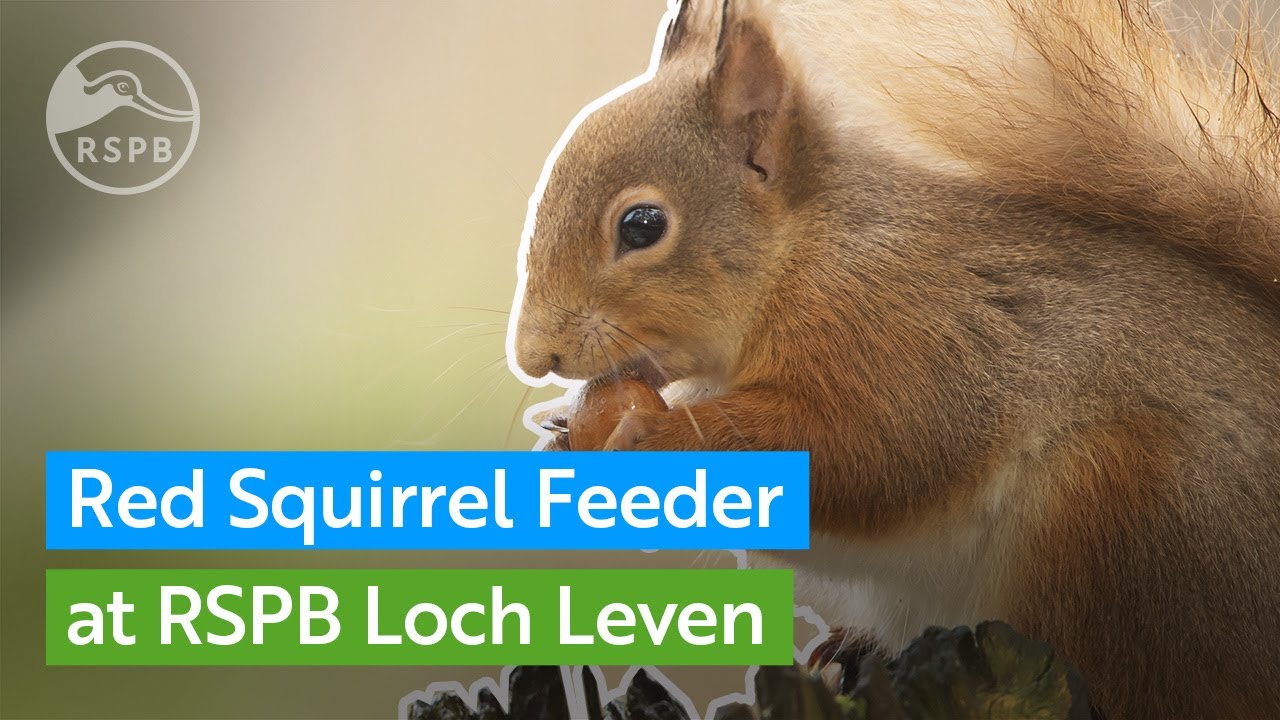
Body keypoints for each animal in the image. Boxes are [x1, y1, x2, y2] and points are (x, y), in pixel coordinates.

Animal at [508, 0, 1280, 717]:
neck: (800, 254)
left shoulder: (905, 332)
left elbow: (871, 451)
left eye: (643, 225)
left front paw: (651, 437)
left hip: (1118, 520)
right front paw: (565, 432)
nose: (533, 355)